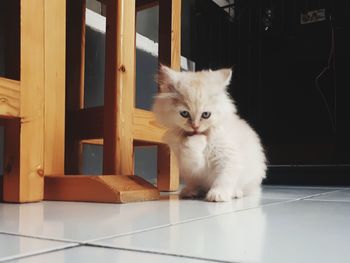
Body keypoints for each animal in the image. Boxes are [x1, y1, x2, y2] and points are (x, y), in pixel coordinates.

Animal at [152, 65, 266, 202]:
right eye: (184, 113)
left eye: (206, 115)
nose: (195, 127)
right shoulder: (190, 165)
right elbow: (192, 153)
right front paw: (196, 140)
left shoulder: (228, 157)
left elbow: (224, 178)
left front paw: (218, 194)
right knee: (195, 185)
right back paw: (190, 192)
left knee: (245, 189)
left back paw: (235, 193)